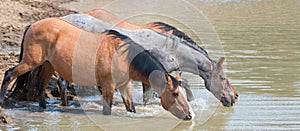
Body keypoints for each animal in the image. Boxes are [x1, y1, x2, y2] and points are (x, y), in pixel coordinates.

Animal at [0, 17, 193, 120]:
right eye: (175, 94)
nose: (189, 115)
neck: (123, 56)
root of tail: (32, 25)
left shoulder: (125, 86)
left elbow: (131, 108)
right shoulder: (108, 86)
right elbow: (107, 110)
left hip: (47, 65)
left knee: (40, 85)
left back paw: (43, 107)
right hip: (31, 61)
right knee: (9, 74)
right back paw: (2, 101)